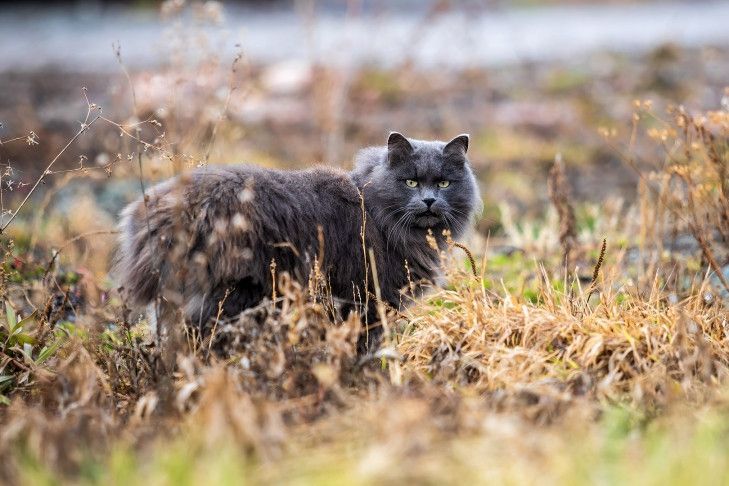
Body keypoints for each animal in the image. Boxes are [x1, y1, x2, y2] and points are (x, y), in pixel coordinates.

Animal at [114, 131, 480, 348]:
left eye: (444, 183)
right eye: (411, 182)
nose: (429, 201)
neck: (374, 211)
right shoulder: (366, 299)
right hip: (232, 298)